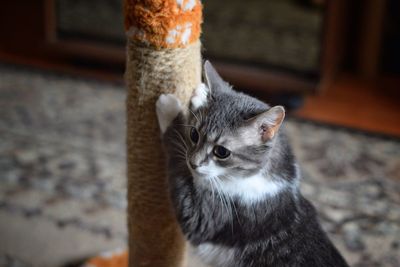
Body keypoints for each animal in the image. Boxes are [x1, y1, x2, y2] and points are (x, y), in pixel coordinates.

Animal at [155, 61, 348, 267]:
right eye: (193, 135)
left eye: (221, 152)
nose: (193, 163)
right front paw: (200, 95)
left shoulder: (214, 216)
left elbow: (180, 173)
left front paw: (169, 107)